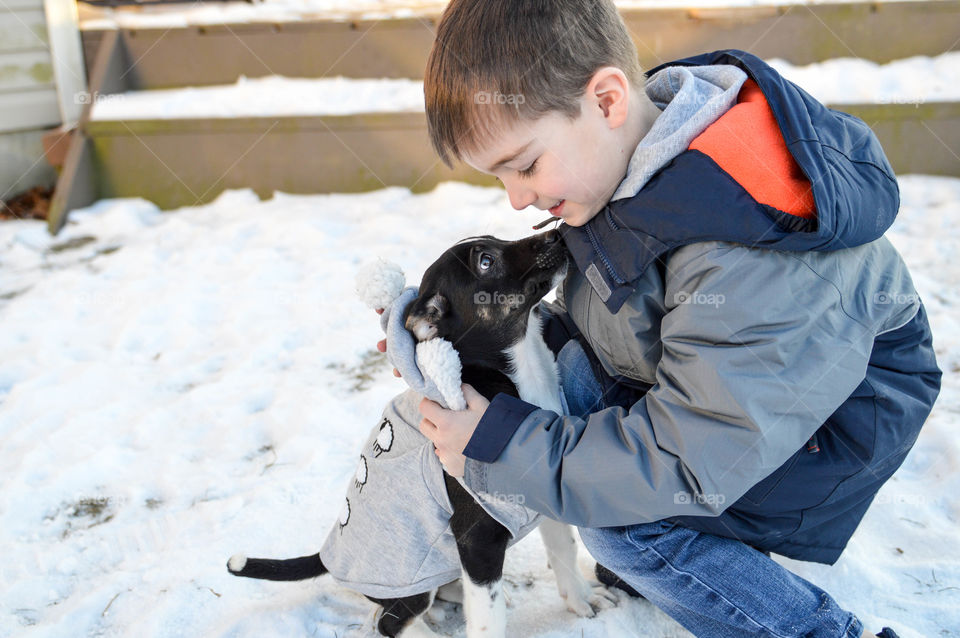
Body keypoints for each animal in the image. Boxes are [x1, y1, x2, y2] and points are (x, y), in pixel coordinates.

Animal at [229, 232, 612, 636]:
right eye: (486, 261)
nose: (556, 235)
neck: (523, 374)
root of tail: (327, 554)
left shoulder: (538, 490)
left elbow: (563, 548)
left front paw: (582, 601)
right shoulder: (477, 539)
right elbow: (488, 622)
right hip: (411, 585)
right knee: (390, 622)